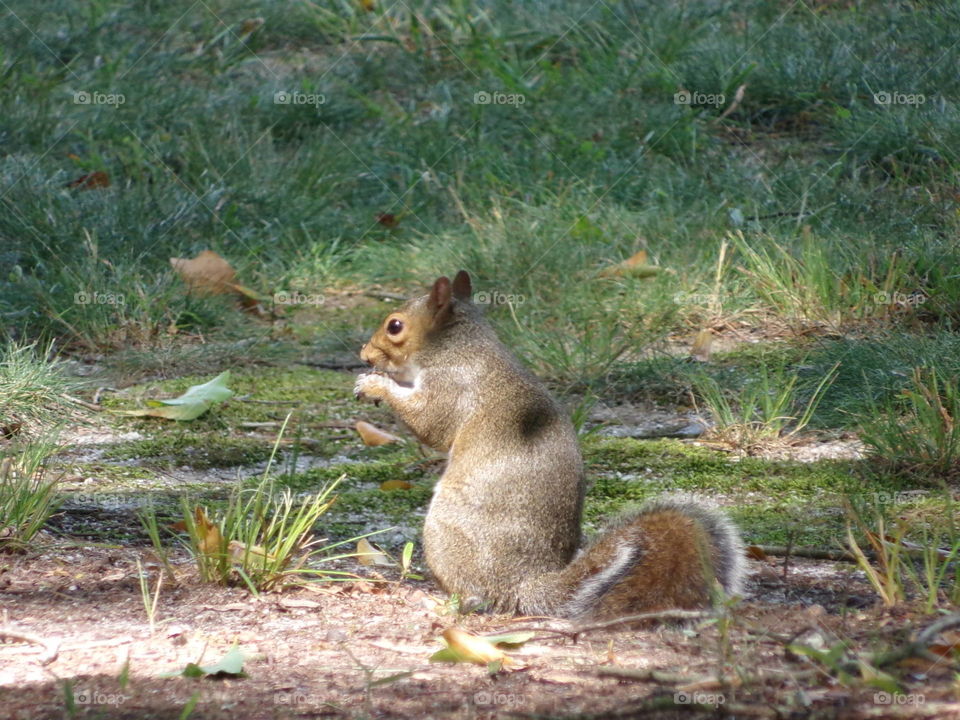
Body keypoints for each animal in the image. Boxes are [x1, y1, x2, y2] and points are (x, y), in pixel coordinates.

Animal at [354, 271, 745, 618]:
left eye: (395, 326)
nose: (364, 355)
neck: (459, 345)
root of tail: (523, 587)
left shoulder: (452, 387)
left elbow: (429, 422)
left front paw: (375, 385)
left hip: (447, 536)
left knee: (476, 598)